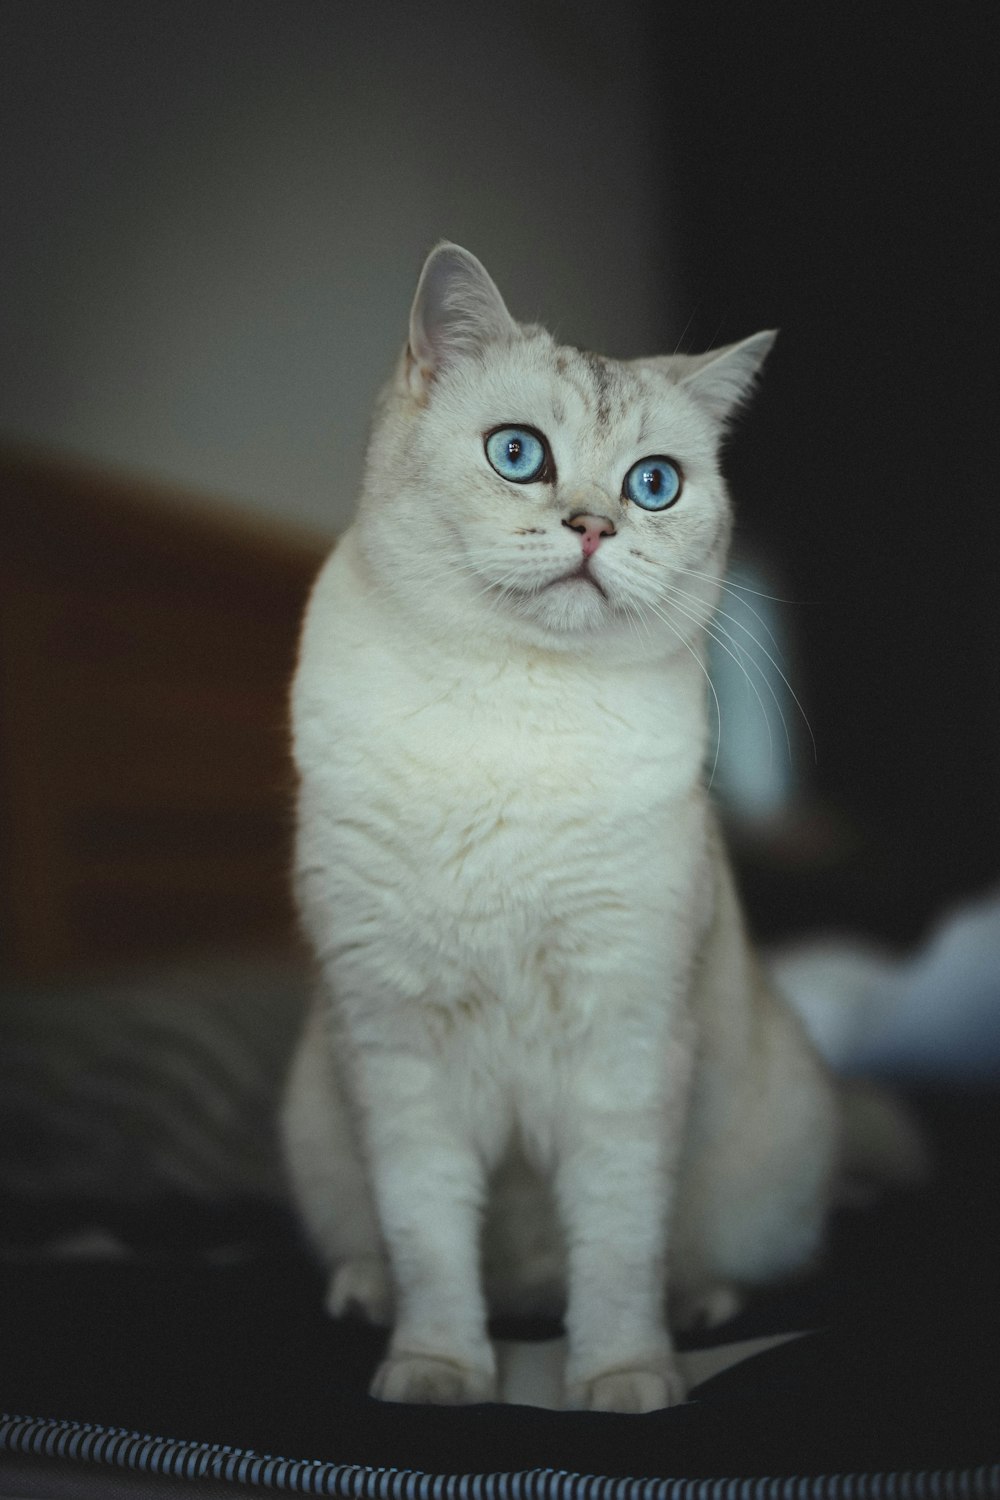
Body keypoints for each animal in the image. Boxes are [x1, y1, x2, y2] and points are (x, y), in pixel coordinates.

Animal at [281, 240, 845, 1410]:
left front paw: (626, 1378)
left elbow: (619, 1253)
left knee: (687, 1262)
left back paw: (696, 1311)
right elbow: (431, 1247)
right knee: (380, 1249)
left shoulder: (624, 1045)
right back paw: (364, 1295)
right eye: (518, 454)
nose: (594, 525)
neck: (516, 709)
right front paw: (436, 1371)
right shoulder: (398, 1055)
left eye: (653, 484)